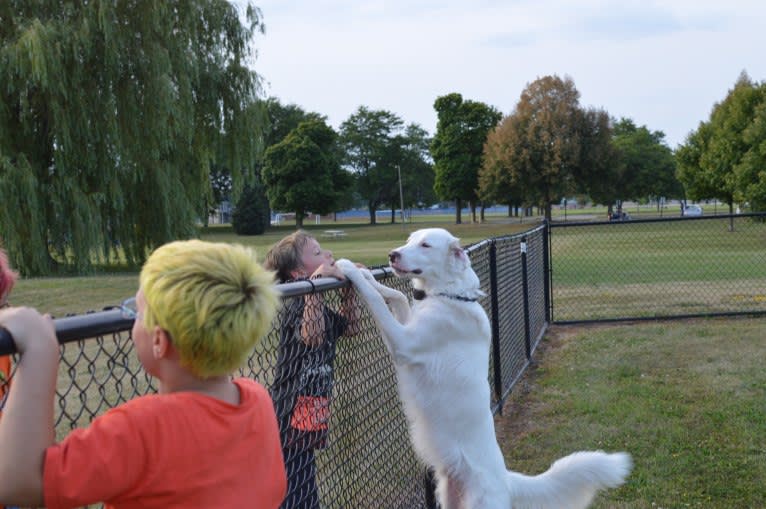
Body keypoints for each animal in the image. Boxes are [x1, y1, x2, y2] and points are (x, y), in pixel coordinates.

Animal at [340, 229, 632, 508]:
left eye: (426, 245)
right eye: (410, 240)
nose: (392, 255)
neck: (451, 296)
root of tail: (506, 479)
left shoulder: (403, 344)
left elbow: (376, 302)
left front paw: (349, 268)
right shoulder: (407, 327)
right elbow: (398, 294)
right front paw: (366, 274)